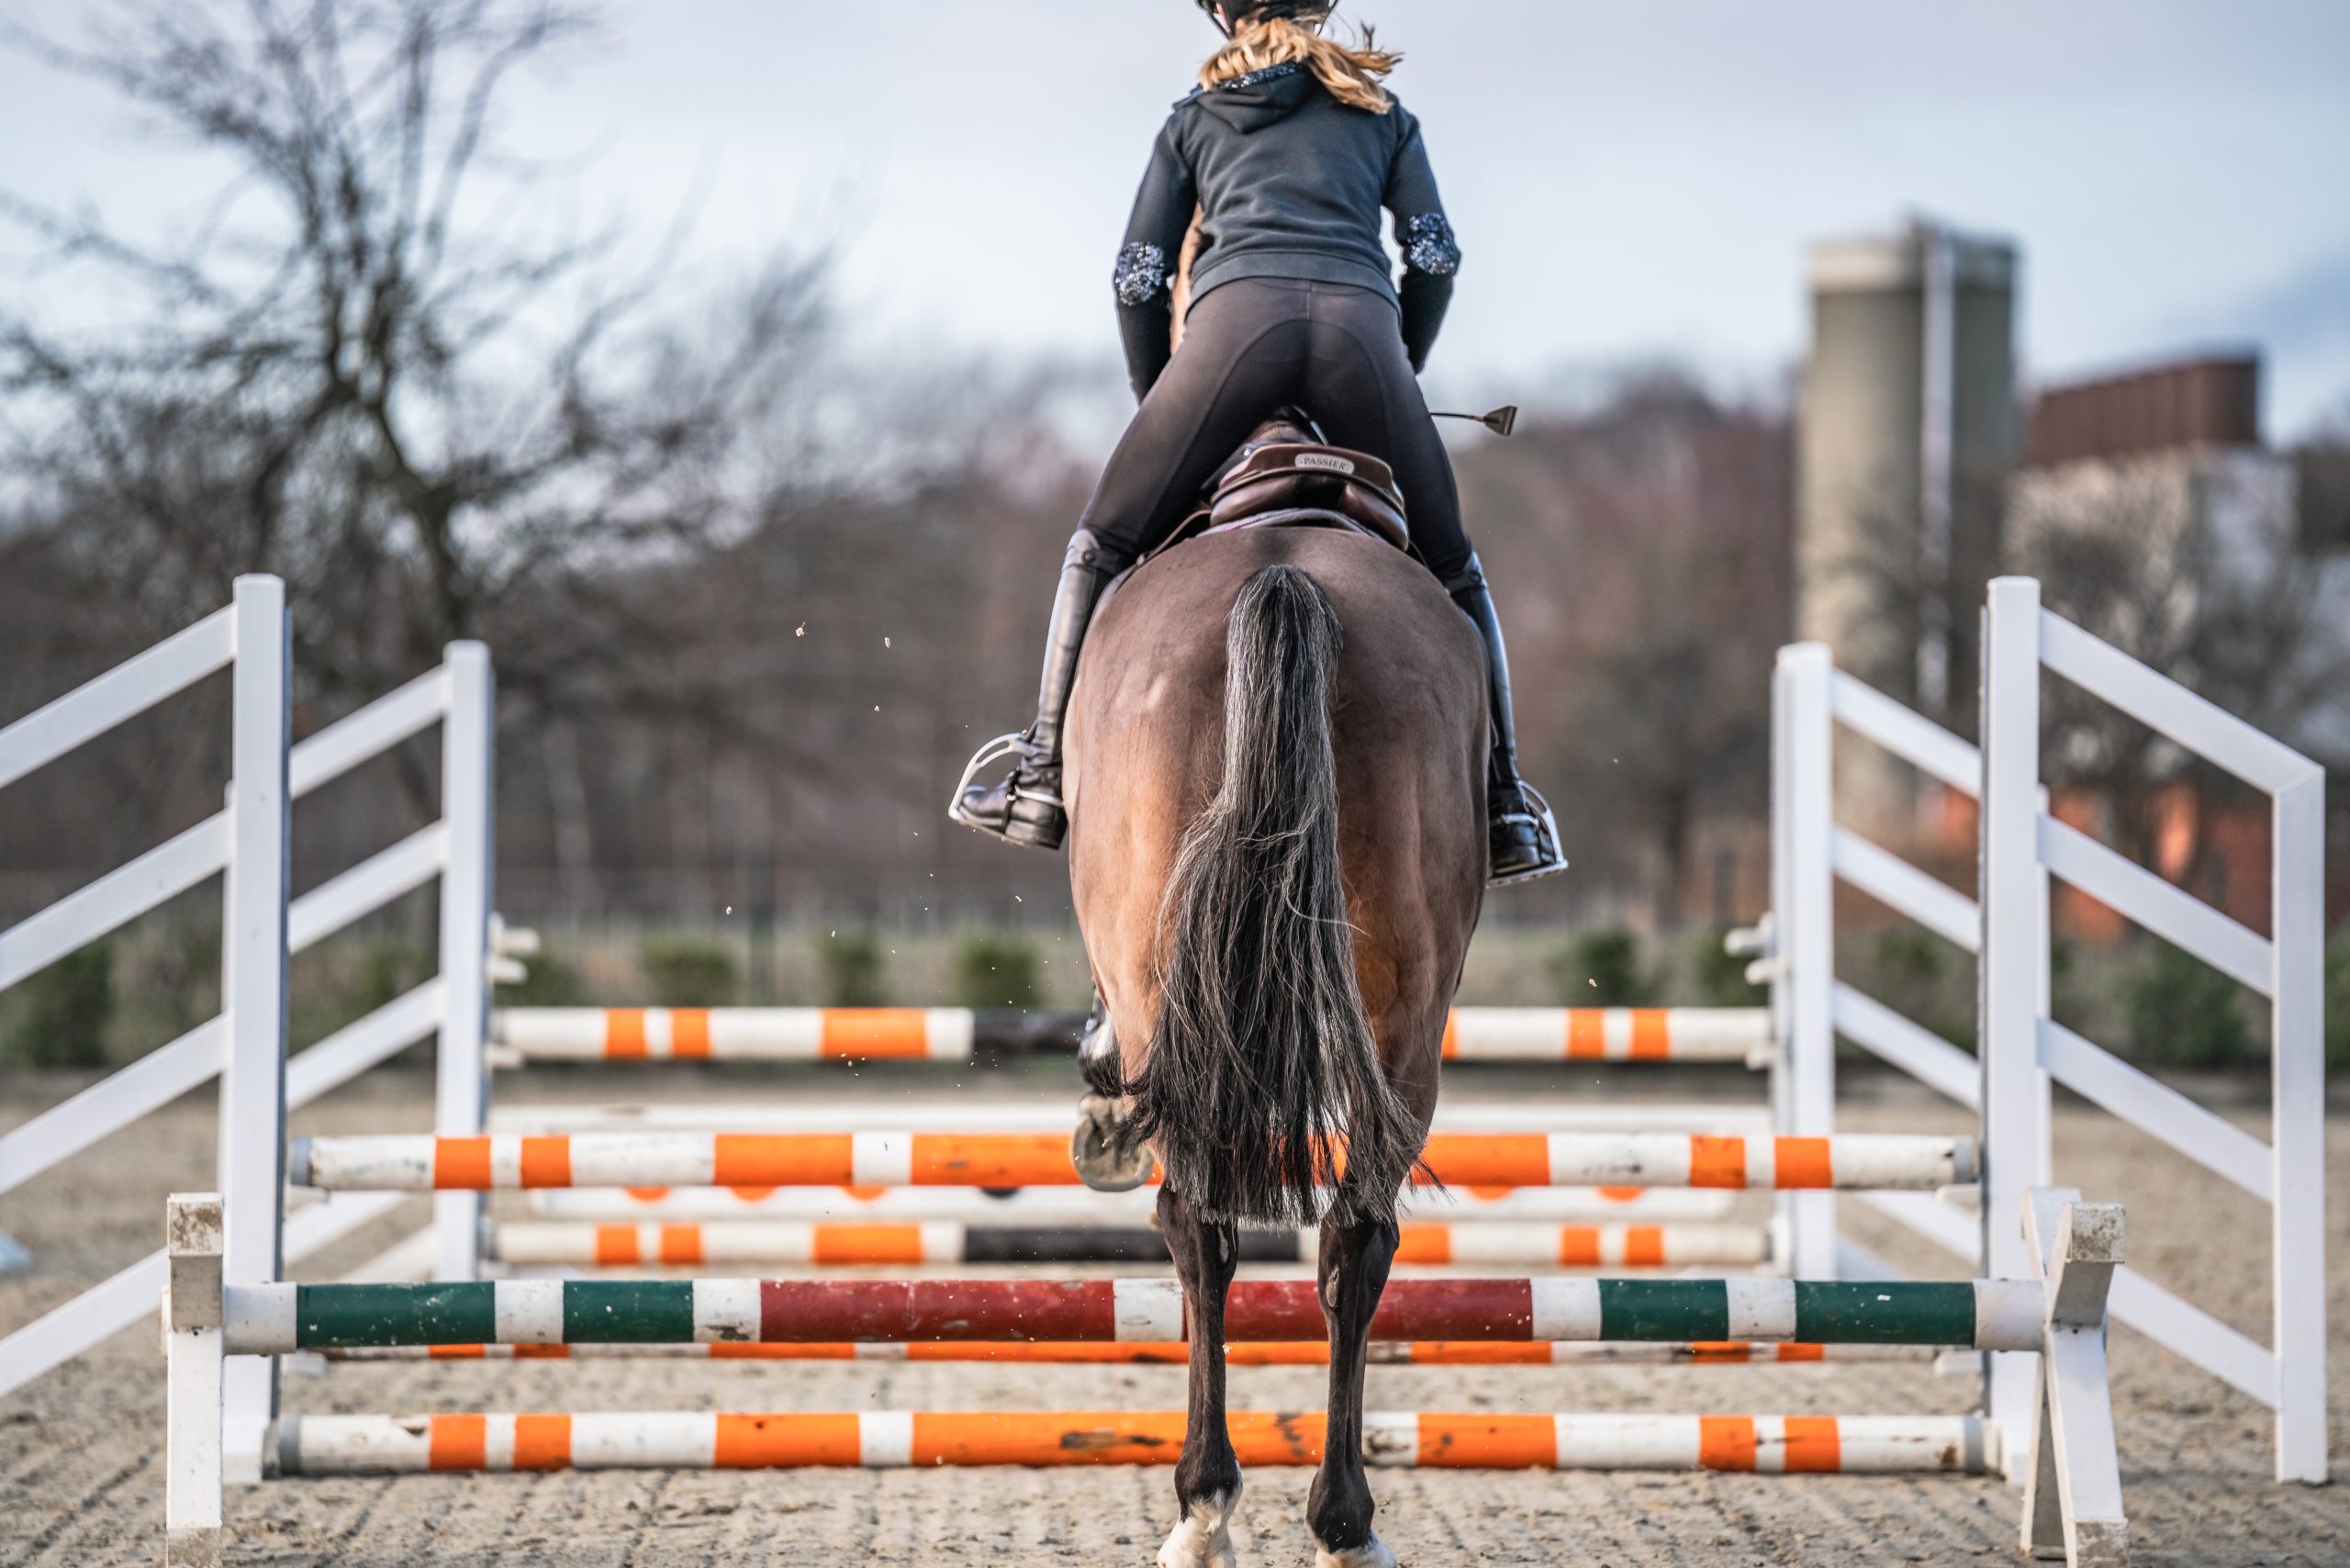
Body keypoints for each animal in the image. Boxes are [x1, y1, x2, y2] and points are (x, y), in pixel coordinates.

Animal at [1067, 442, 1484, 1568]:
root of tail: (1287, 574)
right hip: (1403, 1026)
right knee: (1354, 1235)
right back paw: (1337, 1521)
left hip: (1159, 978)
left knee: (1201, 1224)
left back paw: (1212, 1508)